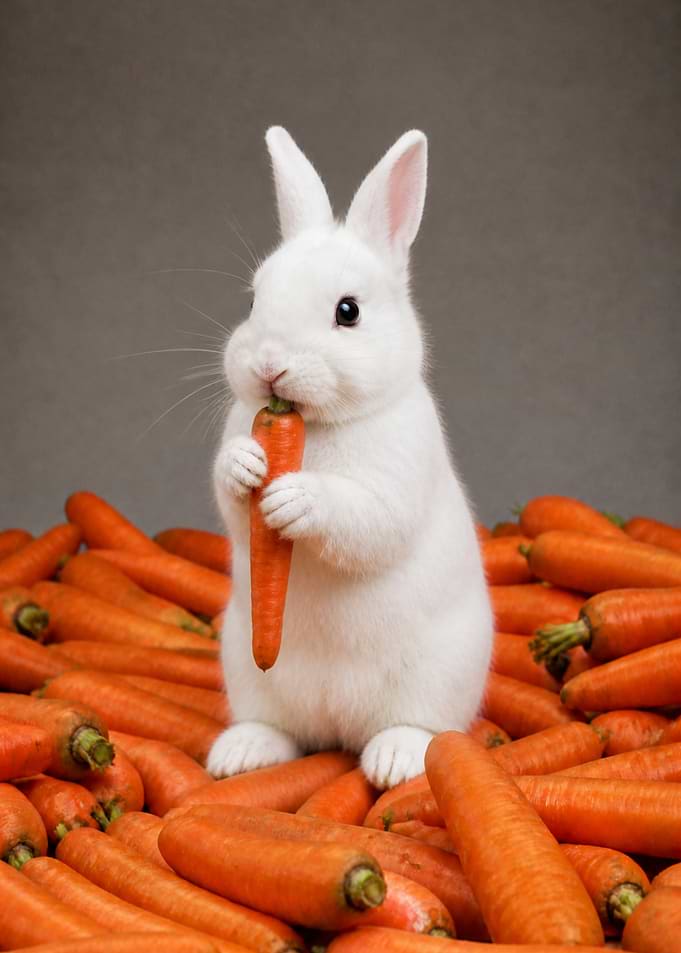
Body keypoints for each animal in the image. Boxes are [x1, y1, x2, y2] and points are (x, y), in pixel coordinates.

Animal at [207, 126, 493, 789]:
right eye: (253, 301)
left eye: (348, 312)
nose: (270, 365)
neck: (314, 427)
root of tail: (339, 728)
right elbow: (233, 500)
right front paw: (245, 466)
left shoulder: (394, 482)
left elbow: (363, 519)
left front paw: (293, 497)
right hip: (247, 662)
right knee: (283, 731)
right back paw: (238, 755)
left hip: (438, 676)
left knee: (419, 730)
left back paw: (394, 762)